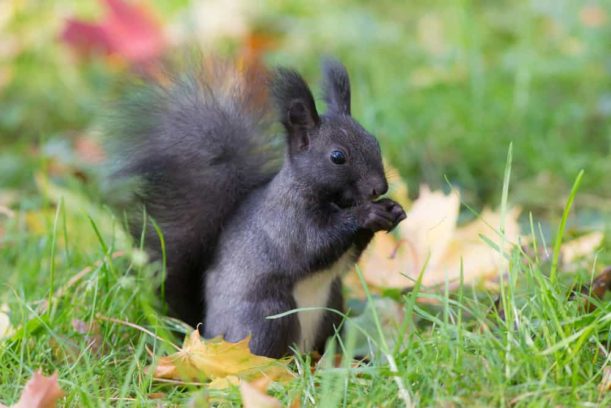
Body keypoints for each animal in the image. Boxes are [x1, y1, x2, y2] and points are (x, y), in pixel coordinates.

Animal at [106, 57, 406, 356]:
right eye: (337, 157)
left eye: (374, 141)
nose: (379, 188)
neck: (332, 199)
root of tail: (206, 334)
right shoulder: (286, 221)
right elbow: (315, 244)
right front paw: (367, 213)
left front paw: (393, 211)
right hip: (268, 317)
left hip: (331, 310)